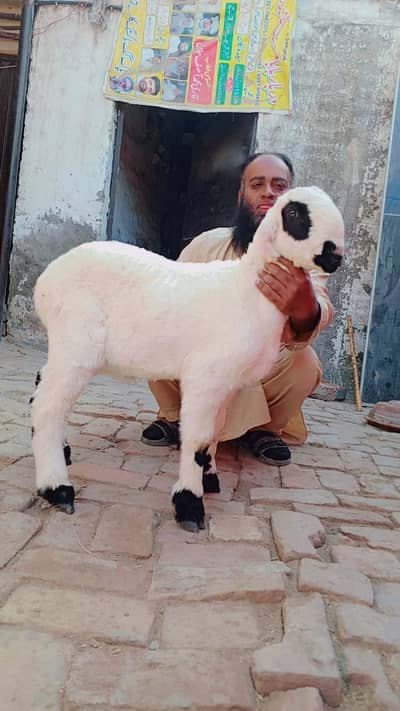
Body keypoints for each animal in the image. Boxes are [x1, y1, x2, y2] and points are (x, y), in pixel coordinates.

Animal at [31, 186, 344, 531]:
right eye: (294, 213)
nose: (334, 255)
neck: (247, 290)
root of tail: (44, 281)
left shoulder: (227, 385)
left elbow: (215, 432)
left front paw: (208, 479)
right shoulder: (205, 376)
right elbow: (197, 438)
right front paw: (190, 504)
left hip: (66, 347)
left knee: (41, 388)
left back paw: (62, 452)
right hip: (77, 343)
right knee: (48, 407)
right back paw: (57, 489)